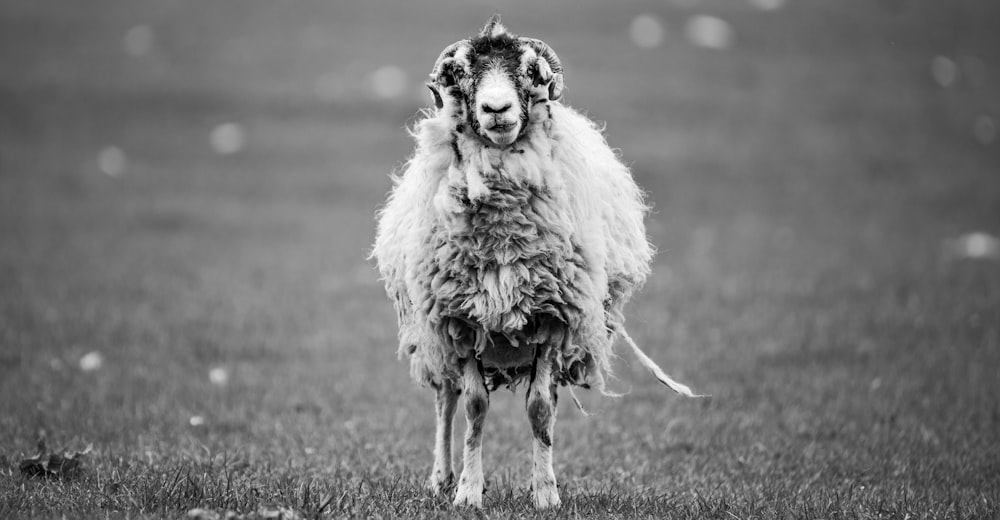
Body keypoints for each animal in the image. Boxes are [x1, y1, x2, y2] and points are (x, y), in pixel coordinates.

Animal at [370, 15, 704, 508]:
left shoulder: (552, 321)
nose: (496, 108)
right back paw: (441, 477)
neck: (505, 238)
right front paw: (468, 493)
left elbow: (541, 409)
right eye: (462, 72)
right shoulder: (461, 322)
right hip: (432, 336)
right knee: (445, 401)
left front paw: (546, 494)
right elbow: (473, 408)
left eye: (530, 71)